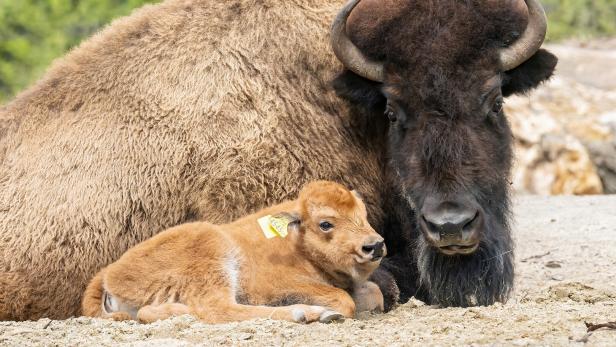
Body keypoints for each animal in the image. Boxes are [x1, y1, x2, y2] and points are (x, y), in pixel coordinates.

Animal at [83, 181, 384, 324]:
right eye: (325, 224)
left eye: (363, 213)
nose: (375, 245)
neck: (296, 241)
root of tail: (108, 274)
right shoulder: (275, 286)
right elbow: (345, 300)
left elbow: (374, 294)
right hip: (213, 254)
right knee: (219, 309)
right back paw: (307, 313)